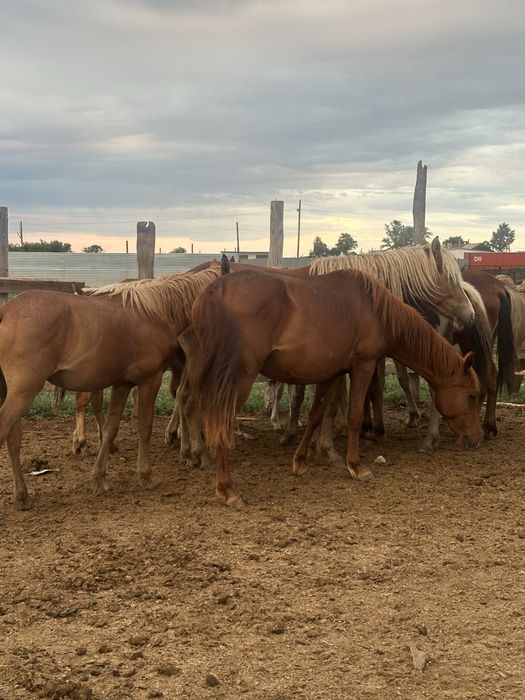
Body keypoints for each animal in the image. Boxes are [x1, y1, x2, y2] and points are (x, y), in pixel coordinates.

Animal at [0, 266, 221, 509]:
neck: (155, 313)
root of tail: (6, 311)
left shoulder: (122, 384)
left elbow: (109, 428)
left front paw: (99, 478)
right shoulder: (149, 381)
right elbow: (145, 427)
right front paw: (146, 475)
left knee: (13, 439)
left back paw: (22, 495)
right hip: (23, 392)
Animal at [179, 267, 482, 506]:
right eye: (471, 395)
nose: (475, 440)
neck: (375, 309)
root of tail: (213, 293)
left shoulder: (333, 373)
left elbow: (316, 415)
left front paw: (301, 461)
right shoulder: (363, 366)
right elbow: (355, 415)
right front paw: (356, 466)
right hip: (238, 380)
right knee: (221, 423)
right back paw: (227, 488)